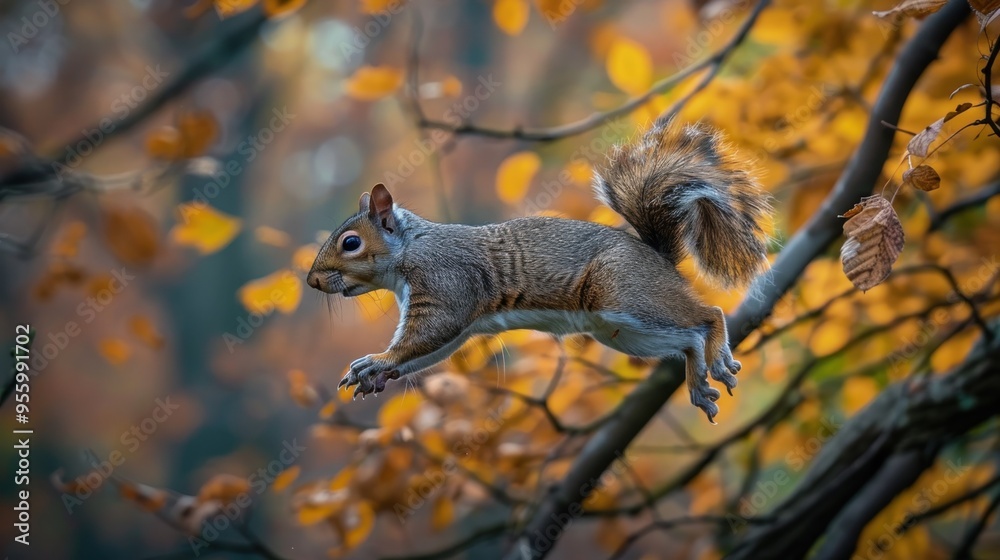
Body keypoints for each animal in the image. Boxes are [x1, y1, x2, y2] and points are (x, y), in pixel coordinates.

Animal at [307, 118, 772, 423]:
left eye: (351, 243)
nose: (312, 280)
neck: (410, 248)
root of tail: (657, 258)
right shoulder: (456, 317)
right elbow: (433, 350)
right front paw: (375, 374)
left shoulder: (446, 282)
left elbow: (426, 335)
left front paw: (377, 360)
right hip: (625, 333)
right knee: (687, 339)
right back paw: (697, 380)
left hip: (625, 295)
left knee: (707, 316)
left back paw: (716, 353)